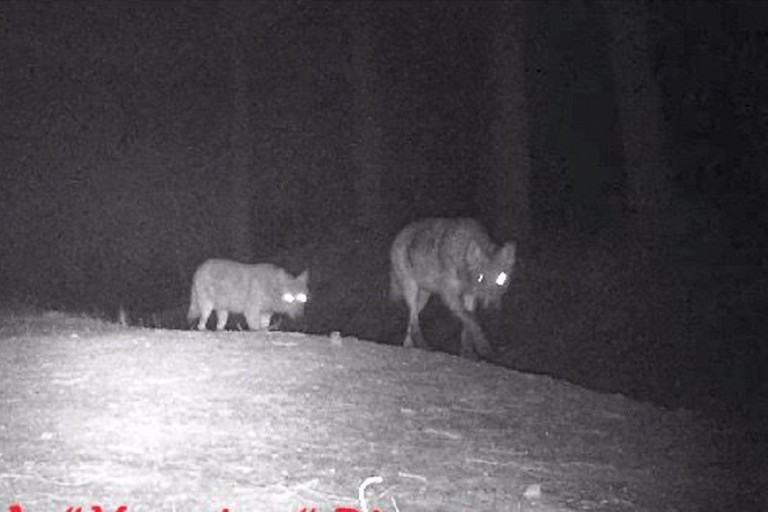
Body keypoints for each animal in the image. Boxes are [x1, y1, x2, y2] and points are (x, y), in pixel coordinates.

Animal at [390, 218, 516, 358]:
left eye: (501, 279)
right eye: (480, 278)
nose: (491, 308)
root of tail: (401, 232)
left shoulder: (469, 296)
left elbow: (468, 325)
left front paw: (467, 352)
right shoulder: (449, 295)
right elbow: (472, 320)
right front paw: (482, 346)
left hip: (423, 297)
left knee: (412, 320)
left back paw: (408, 346)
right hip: (411, 289)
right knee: (413, 318)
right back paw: (423, 345)